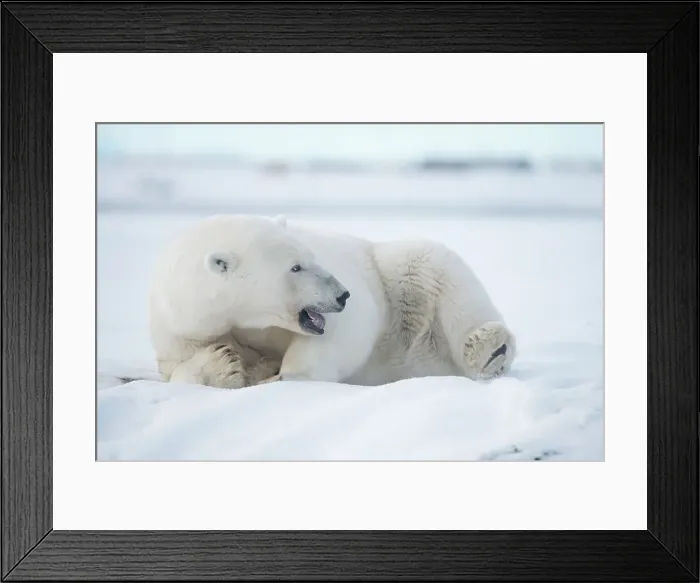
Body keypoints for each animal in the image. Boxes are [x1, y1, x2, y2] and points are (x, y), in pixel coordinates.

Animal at [148, 214, 516, 389]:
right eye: (295, 267)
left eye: (311, 256)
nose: (342, 294)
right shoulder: (182, 321)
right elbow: (176, 369)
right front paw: (225, 363)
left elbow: (341, 335)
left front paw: (278, 374)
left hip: (402, 273)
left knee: (438, 269)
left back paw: (491, 350)